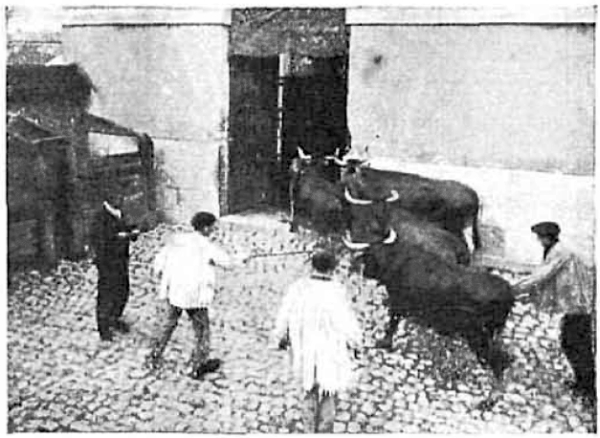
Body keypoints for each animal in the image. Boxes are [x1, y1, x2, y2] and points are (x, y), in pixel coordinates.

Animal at [344, 229, 512, 408]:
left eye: (369, 256)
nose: (363, 272)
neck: (397, 261)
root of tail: (508, 293)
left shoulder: (397, 301)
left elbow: (392, 324)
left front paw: (383, 343)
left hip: (480, 336)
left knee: (500, 361)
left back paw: (490, 398)